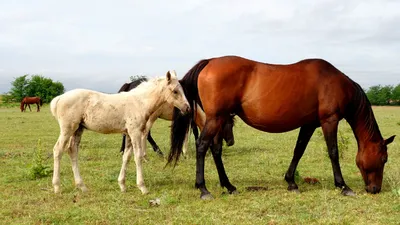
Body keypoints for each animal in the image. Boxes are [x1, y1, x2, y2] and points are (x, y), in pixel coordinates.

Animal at [49, 71, 189, 193]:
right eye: (175, 91)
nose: (187, 108)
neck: (139, 103)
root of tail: (59, 98)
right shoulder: (135, 132)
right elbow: (137, 156)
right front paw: (142, 187)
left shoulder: (128, 134)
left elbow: (126, 157)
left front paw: (122, 185)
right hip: (67, 129)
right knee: (58, 150)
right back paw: (57, 187)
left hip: (78, 129)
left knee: (72, 151)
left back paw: (82, 186)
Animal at [167, 55, 396, 200]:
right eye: (384, 159)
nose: (375, 189)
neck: (334, 83)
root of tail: (210, 62)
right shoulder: (329, 121)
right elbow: (333, 152)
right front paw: (343, 186)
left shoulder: (309, 124)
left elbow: (299, 150)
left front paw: (291, 182)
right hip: (215, 119)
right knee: (202, 146)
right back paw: (204, 189)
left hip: (220, 119)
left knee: (215, 149)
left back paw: (229, 186)